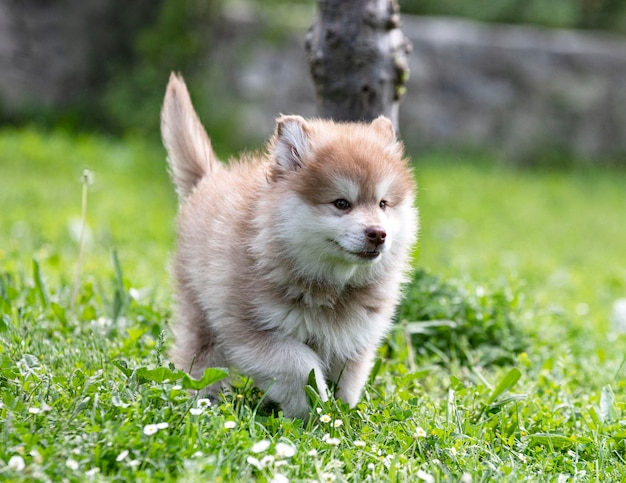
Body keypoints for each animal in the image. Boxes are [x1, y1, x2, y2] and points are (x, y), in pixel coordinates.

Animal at [161, 73, 416, 420]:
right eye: (341, 203)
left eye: (383, 204)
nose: (378, 234)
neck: (330, 285)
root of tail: (208, 179)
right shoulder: (252, 331)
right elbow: (299, 366)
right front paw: (314, 408)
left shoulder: (353, 336)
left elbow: (348, 380)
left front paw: (340, 414)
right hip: (201, 314)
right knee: (199, 361)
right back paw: (200, 403)